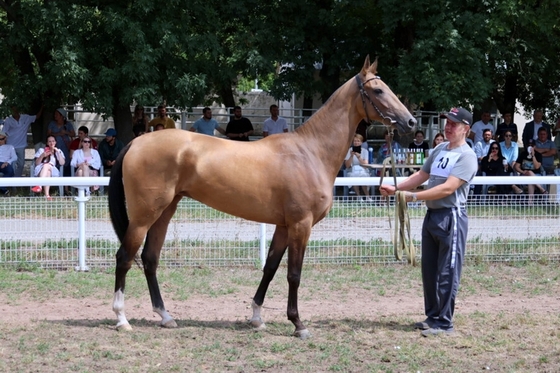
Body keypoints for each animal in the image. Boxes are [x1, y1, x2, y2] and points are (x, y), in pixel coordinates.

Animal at [108, 55, 416, 338]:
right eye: (378, 91)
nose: (410, 122)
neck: (310, 152)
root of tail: (136, 142)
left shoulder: (283, 226)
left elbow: (270, 267)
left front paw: (256, 317)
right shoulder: (301, 225)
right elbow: (294, 274)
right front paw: (298, 324)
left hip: (164, 212)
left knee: (149, 258)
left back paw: (165, 316)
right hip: (144, 216)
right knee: (124, 257)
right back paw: (122, 319)